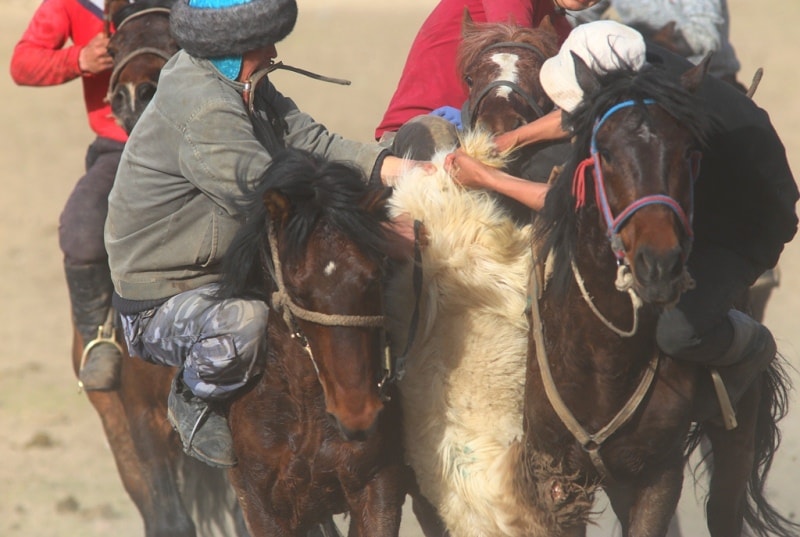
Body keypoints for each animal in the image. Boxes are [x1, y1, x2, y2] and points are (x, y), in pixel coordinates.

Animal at [520, 51, 792, 536]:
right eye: (605, 152)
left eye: (687, 150)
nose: (659, 263)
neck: (603, 360)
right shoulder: (557, 477)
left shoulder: (657, 472)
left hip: (734, 431)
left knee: (725, 507)